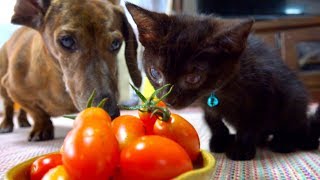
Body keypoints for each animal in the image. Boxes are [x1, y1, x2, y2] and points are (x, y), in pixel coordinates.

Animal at [126, 2, 318, 160]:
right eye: (155, 73)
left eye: (193, 78)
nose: (169, 100)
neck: (220, 90)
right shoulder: (205, 102)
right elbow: (212, 118)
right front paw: (220, 138)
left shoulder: (264, 93)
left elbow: (251, 122)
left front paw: (241, 148)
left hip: (293, 99)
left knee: (296, 126)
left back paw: (284, 142)